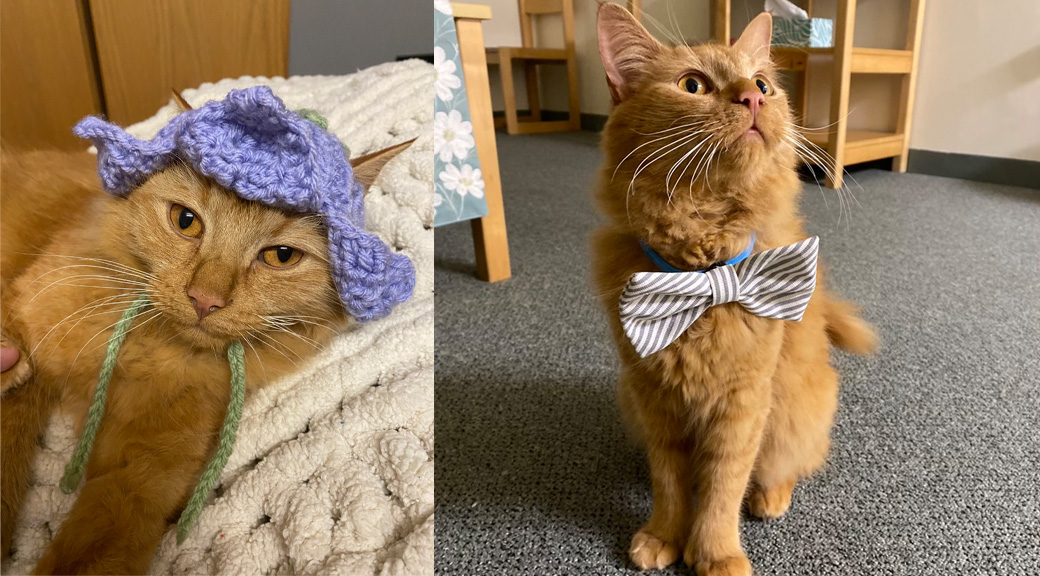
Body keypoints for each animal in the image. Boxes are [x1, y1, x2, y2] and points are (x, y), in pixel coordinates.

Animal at [1, 98, 413, 569]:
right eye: (186, 221)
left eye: (281, 256)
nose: (205, 299)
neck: (147, 351)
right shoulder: (26, 335)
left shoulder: (142, 473)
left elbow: (94, 549)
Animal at [594, 5, 877, 573]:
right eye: (693, 85)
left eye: (763, 84)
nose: (752, 98)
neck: (705, 273)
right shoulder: (654, 399)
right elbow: (670, 481)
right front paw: (664, 534)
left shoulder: (742, 405)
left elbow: (722, 487)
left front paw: (715, 553)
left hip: (790, 413)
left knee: (787, 464)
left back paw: (771, 497)